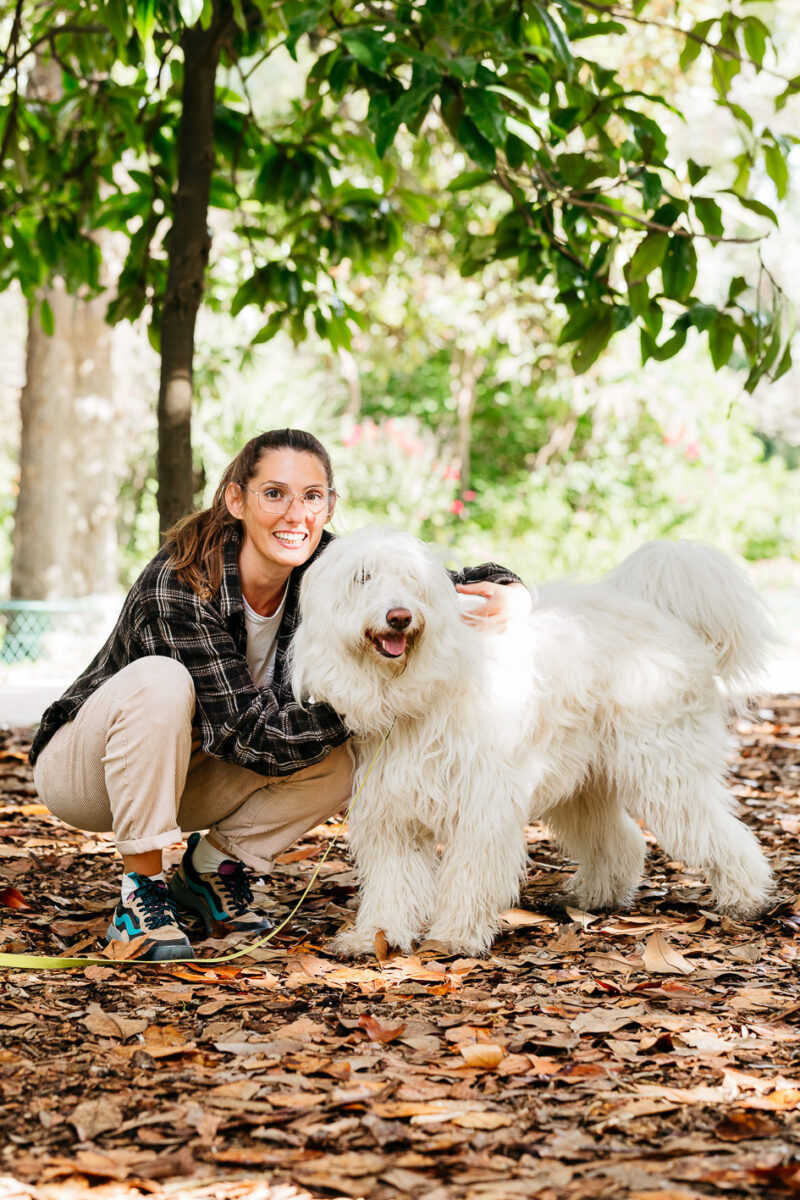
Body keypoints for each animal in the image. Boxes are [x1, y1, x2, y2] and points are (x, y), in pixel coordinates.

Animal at [291, 532, 772, 955]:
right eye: (362, 577)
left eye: (412, 579)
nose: (399, 617)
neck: (413, 689)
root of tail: (662, 616)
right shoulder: (390, 811)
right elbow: (393, 882)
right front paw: (377, 936)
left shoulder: (483, 804)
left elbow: (470, 874)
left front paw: (455, 936)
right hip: (583, 785)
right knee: (621, 841)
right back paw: (598, 897)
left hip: (664, 771)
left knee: (720, 832)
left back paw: (747, 898)